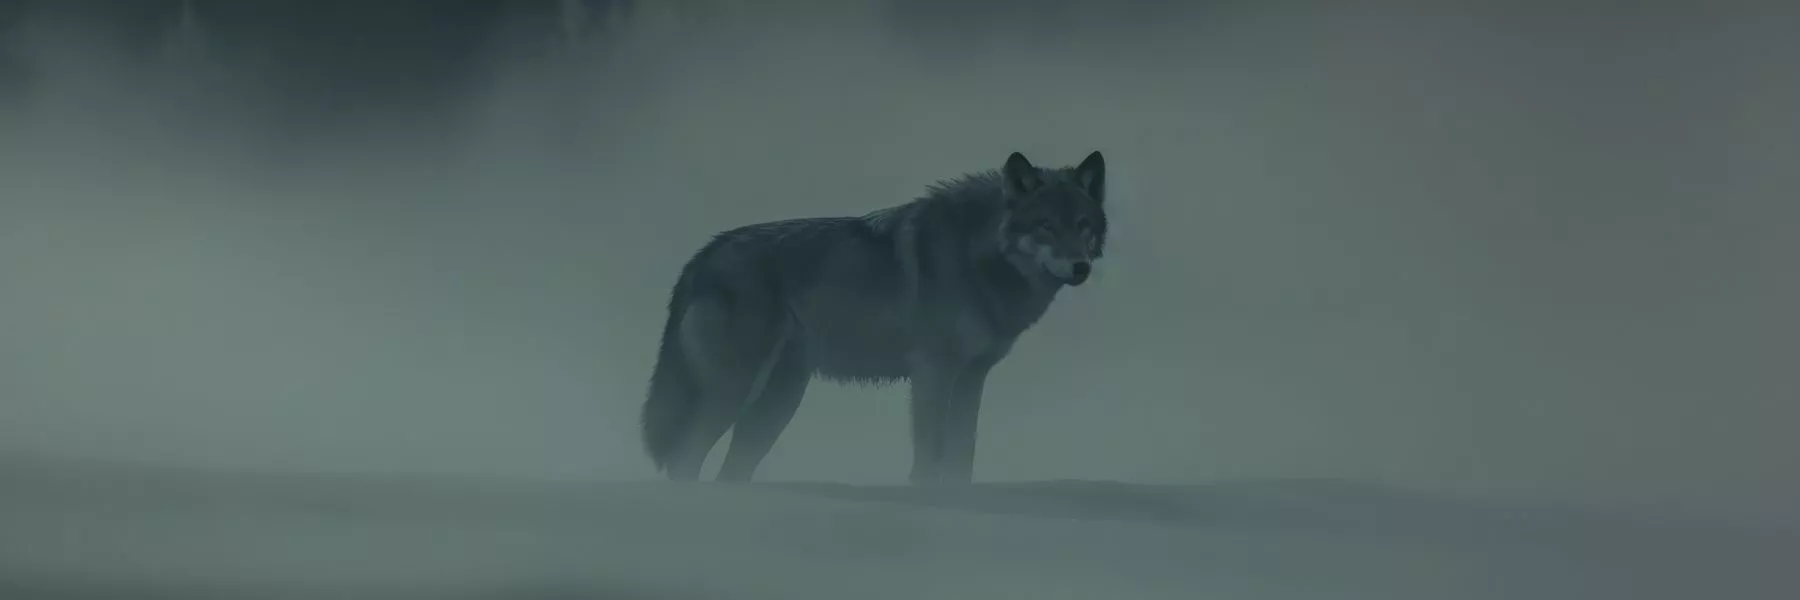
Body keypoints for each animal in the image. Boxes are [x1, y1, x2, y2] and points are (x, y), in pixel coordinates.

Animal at [639, 150, 1108, 485]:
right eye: (1045, 225)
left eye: (1083, 224)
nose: (1080, 267)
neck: (981, 260)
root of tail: (703, 256)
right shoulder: (933, 373)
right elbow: (930, 456)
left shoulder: (972, 377)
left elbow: (963, 457)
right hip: (737, 392)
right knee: (684, 460)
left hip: (777, 403)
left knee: (730, 471)